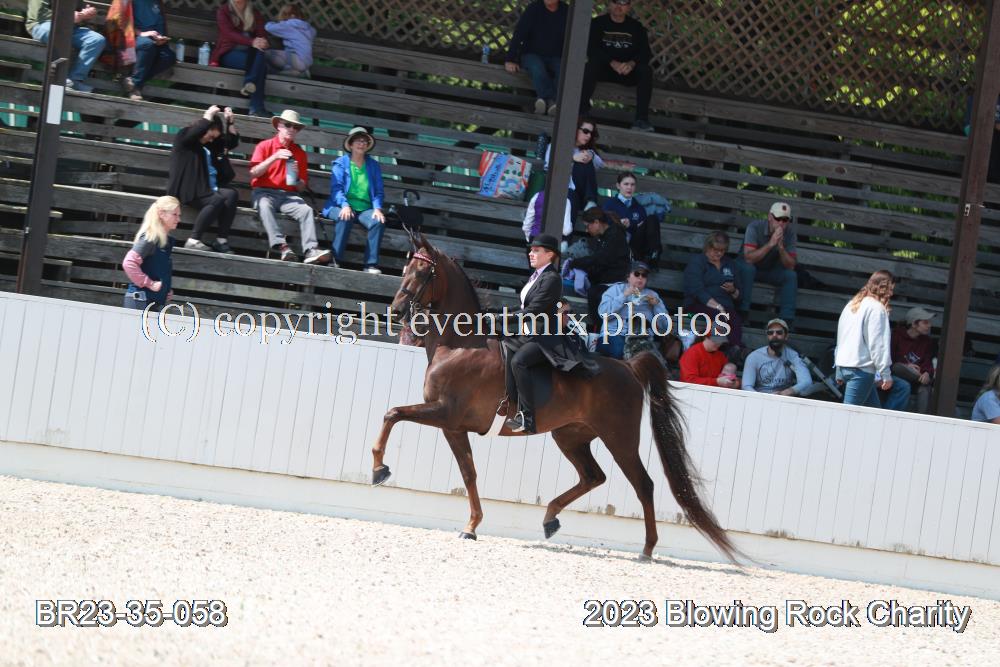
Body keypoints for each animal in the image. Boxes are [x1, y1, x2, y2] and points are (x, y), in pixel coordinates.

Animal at [371, 233, 741, 562]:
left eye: (422, 272)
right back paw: (550, 519)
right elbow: (468, 473)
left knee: (643, 484)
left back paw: (647, 550)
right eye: (406, 268)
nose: (396, 310)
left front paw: (379, 469)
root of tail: (628, 367)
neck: (460, 345)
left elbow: (393, 413)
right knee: (593, 476)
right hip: (570, 436)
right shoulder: (454, 426)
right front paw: (471, 526)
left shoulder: (446, 413)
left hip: (619, 437)